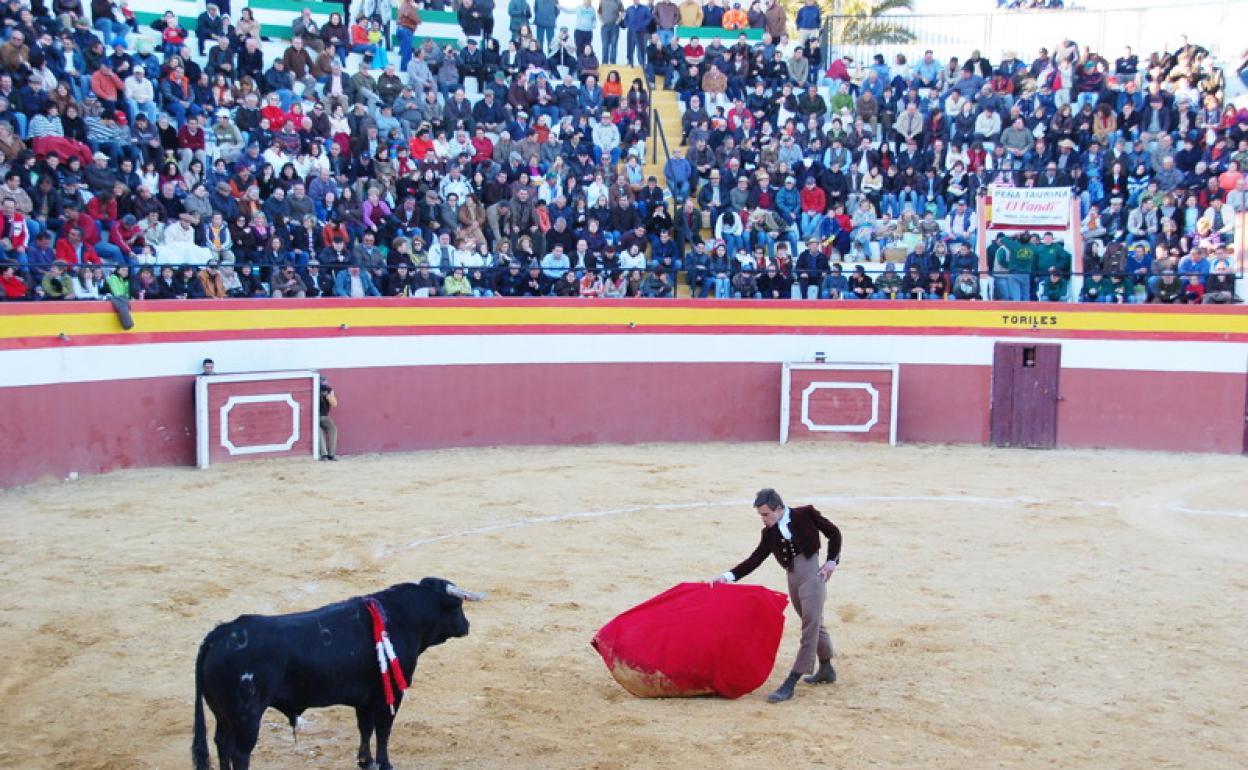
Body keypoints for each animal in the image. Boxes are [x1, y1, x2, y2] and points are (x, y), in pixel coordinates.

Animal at [192, 576, 479, 768]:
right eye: (457, 606)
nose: (466, 626)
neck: (401, 616)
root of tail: (219, 634)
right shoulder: (390, 694)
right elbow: (383, 730)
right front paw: (385, 764)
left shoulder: (366, 699)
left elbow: (365, 728)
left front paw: (365, 761)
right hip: (247, 716)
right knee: (239, 752)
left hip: (223, 714)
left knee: (222, 743)